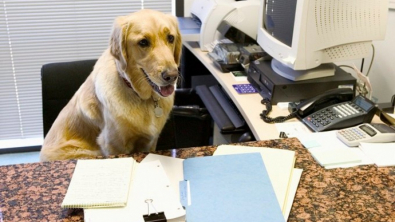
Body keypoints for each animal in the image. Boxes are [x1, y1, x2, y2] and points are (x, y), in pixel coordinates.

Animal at [40, 9, 183, 161]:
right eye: (143, 42)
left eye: (171, 38)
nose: (172, 76)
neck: (143, 97)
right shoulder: (114, 144)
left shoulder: (150, 141)